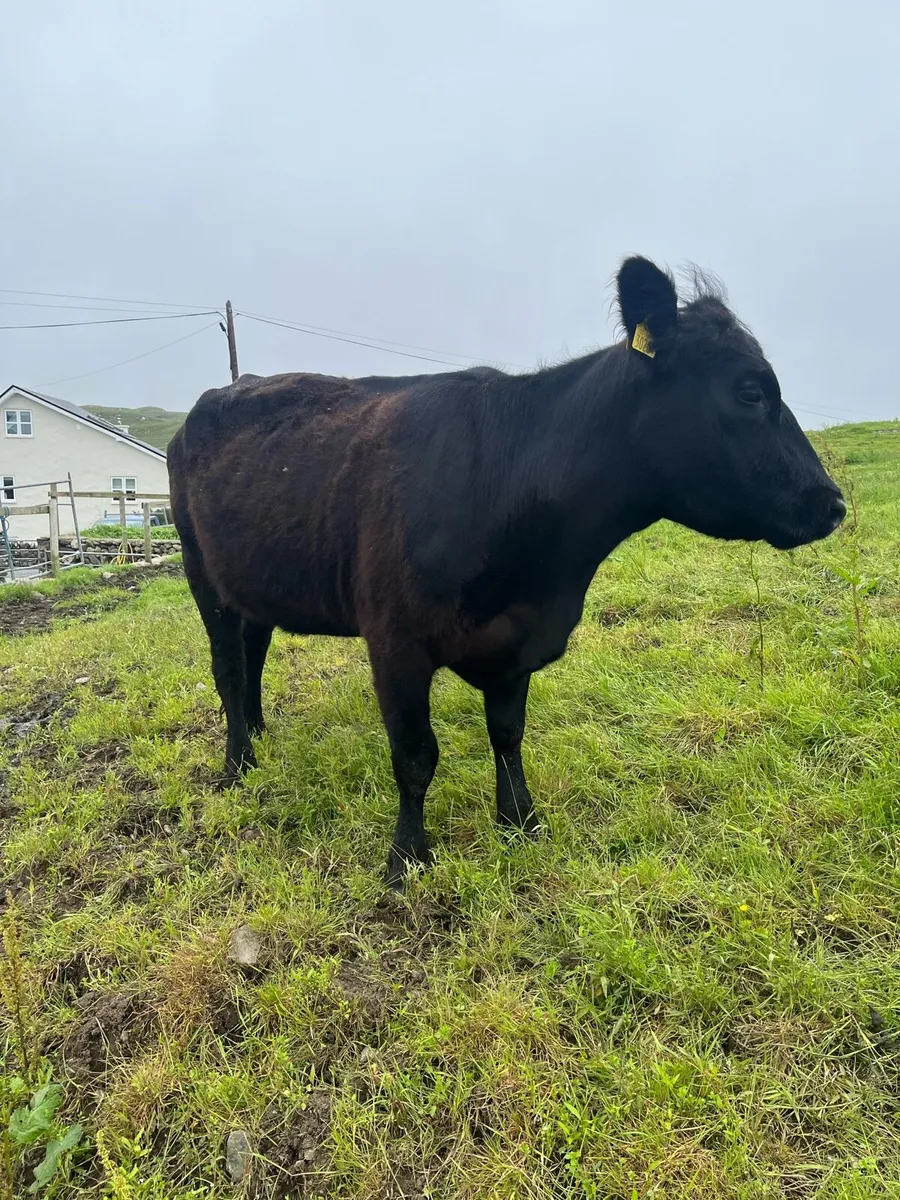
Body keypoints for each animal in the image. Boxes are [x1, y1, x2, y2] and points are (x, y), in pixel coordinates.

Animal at [168, 256, 845, 885]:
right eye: (751, 391)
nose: (832, 503)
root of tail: (216, 397)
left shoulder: (516, 640)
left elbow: (508, 734)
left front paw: (520, 823)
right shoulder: (395, 641)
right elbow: (415, 755)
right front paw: (406, 859)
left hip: (253, 579)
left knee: (254, 652)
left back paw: (259, 737)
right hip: (201, 572)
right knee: (229, 668)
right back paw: (237, 764)